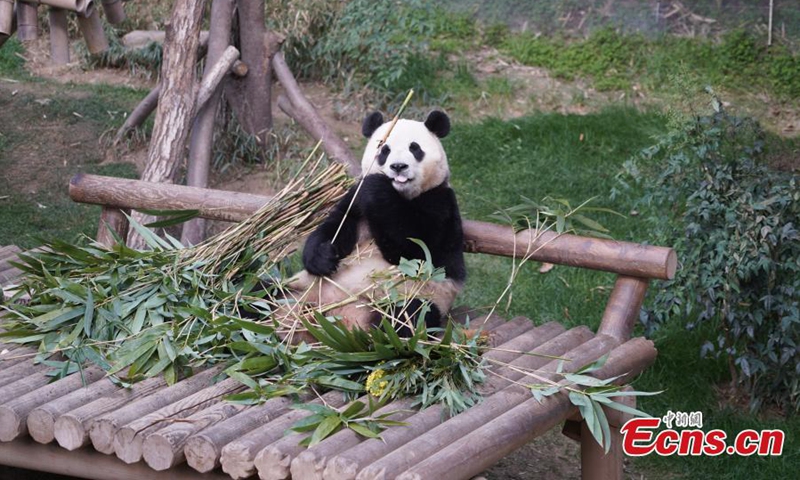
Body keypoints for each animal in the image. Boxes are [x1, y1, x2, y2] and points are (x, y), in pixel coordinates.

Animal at [283, 110, 466, 336]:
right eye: (384, 150)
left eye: (415, 148)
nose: (398, 167)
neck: (400, 194)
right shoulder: (356, 198)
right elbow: (338, 224)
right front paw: (321, 257)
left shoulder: (440, 203)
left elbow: (416, 250)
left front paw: (378, 186)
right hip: (299, 289)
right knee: (263, 290)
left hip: (417, 297)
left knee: (407, 317)